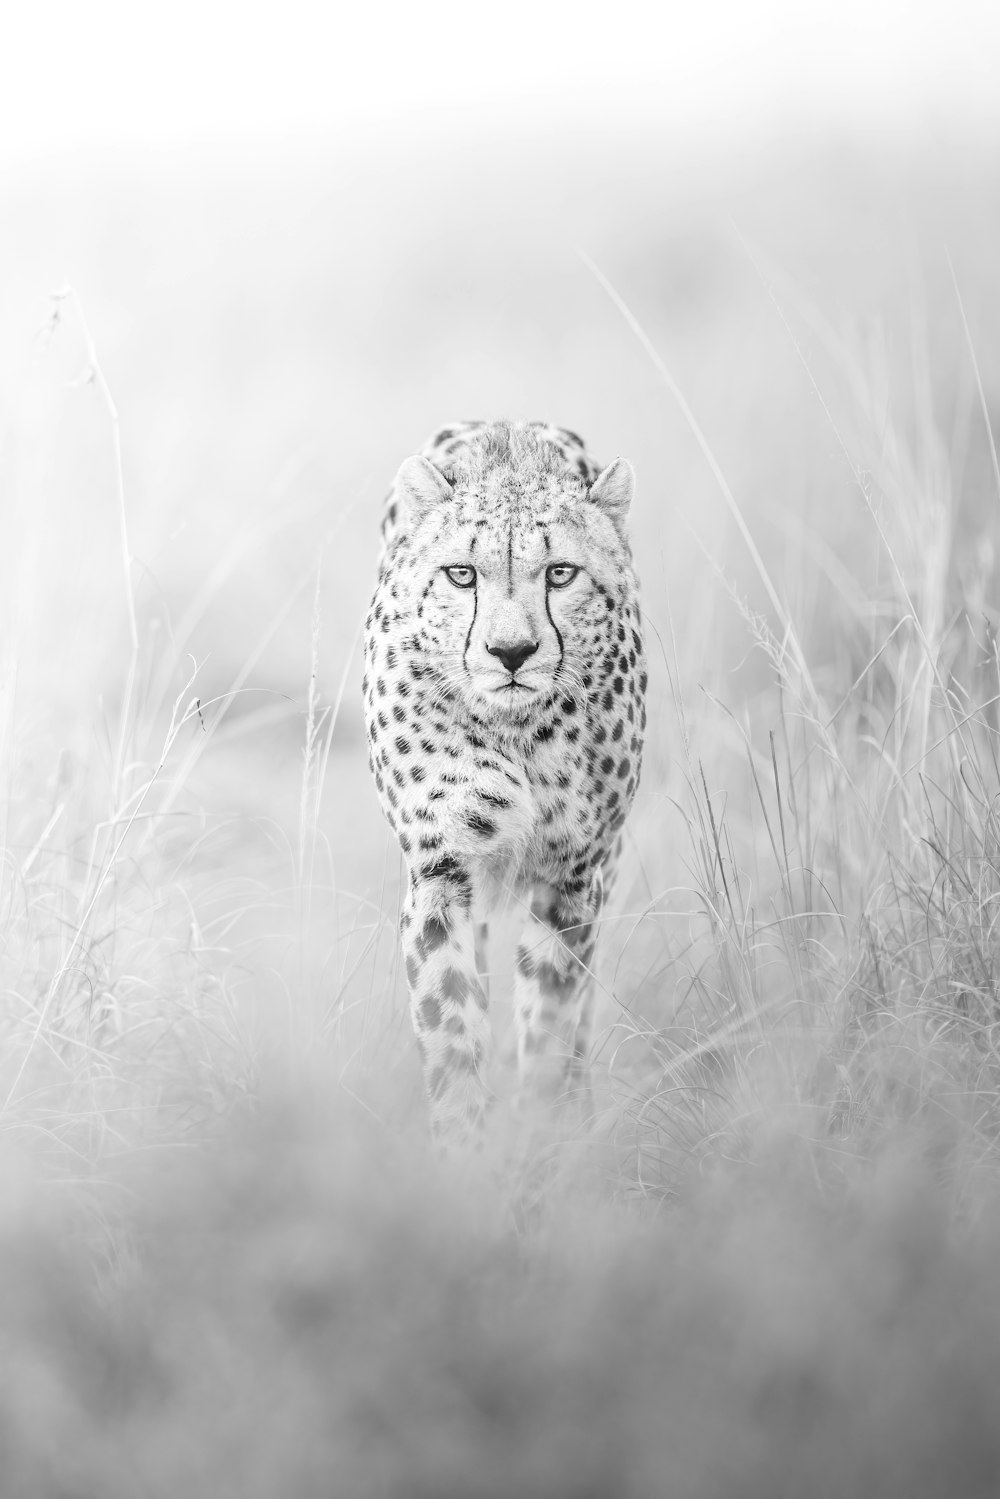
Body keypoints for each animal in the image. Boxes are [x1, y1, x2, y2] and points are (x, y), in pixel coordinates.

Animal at [361, 416, 650, 1139]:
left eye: (561, 573)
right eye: (461, 574)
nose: (511, 652)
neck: (517, 731)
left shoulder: (574, 878)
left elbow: (550, 1019)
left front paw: (543, 1132)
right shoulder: (442, 873)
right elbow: (451, 1026)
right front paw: (468, 1140)